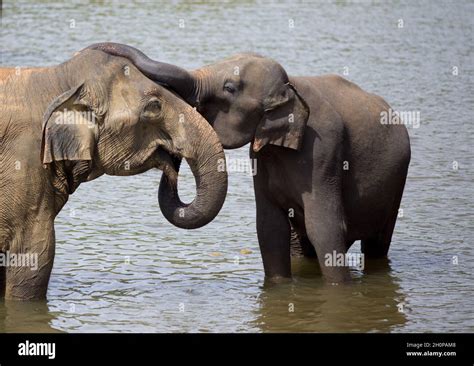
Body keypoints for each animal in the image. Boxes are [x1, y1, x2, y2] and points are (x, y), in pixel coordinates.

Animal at [89, 43, 412, 284]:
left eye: (230, 87)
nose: (99, 47)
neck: (290, 87)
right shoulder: (262, 158)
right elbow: (270, 228)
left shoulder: (324, 153)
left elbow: (326, 228)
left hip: (397, 182)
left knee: (376, 244)